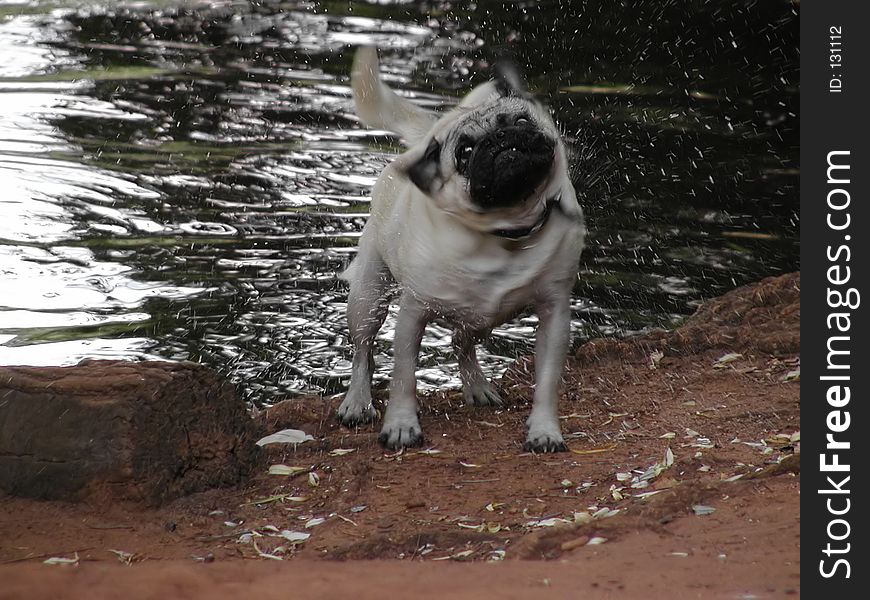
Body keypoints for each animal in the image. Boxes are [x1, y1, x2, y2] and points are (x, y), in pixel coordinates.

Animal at [338, 45, 588, 450]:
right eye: (465, 152)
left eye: (522, 120)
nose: (501, 139)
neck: (504, 230)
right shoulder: (413, 314)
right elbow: (404, 377)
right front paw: (402, 425)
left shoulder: (555, 312)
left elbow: (548, 381)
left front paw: (545, 430)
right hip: (368, 297)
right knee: (364, 351)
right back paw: (357, 401)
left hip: (485, 316)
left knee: (462, 341)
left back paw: (477, 386)